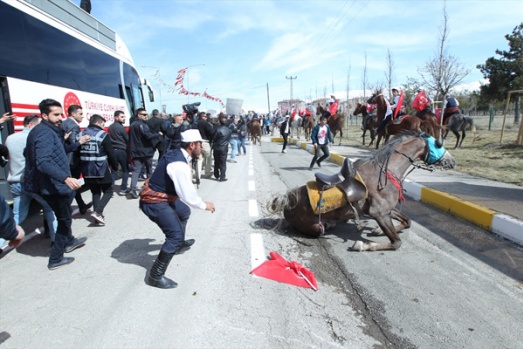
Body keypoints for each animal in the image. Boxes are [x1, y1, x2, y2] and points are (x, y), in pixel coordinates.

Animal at [268, 131, 456, 250]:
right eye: (438, 144)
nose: (452, 161)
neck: (385, 172)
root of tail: (286, 201)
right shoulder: (379, 212)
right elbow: (396, 243)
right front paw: (363, 244)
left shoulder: (387, 210)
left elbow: (407, 221)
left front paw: (378, 230)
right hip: (314, 228)